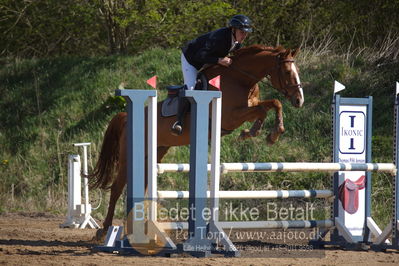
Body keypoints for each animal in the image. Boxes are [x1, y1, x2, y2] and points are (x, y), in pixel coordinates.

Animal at [89, 44, 304, 236]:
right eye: (287, 71)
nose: (299, 100)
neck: (240, 79)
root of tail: (126, 117)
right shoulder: (230, 117)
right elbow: (264, 108)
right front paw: (260, 132)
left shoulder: (247, 108)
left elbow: (272, 104)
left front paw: (264, 132)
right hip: (129, 157)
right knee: (116, 188)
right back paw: (104, 230)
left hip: (154, 153)